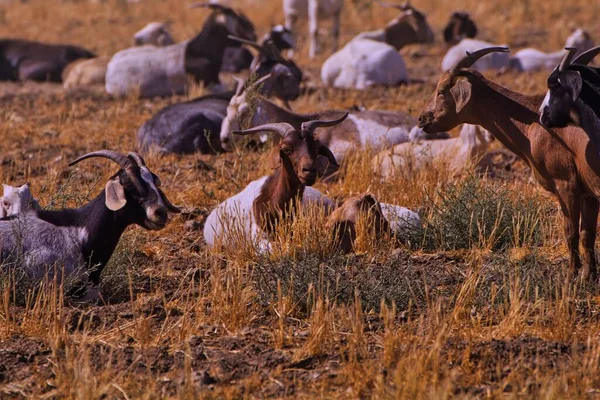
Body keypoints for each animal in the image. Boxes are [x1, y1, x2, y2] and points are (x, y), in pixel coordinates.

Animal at [420, 46, 600, 282]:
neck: (535, 124)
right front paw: (588, 276)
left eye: (441, 90)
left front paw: (571, 276)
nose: (422, 119)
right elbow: (588, 234)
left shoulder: (566, 185)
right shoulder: (588, 193)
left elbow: (570, 232)